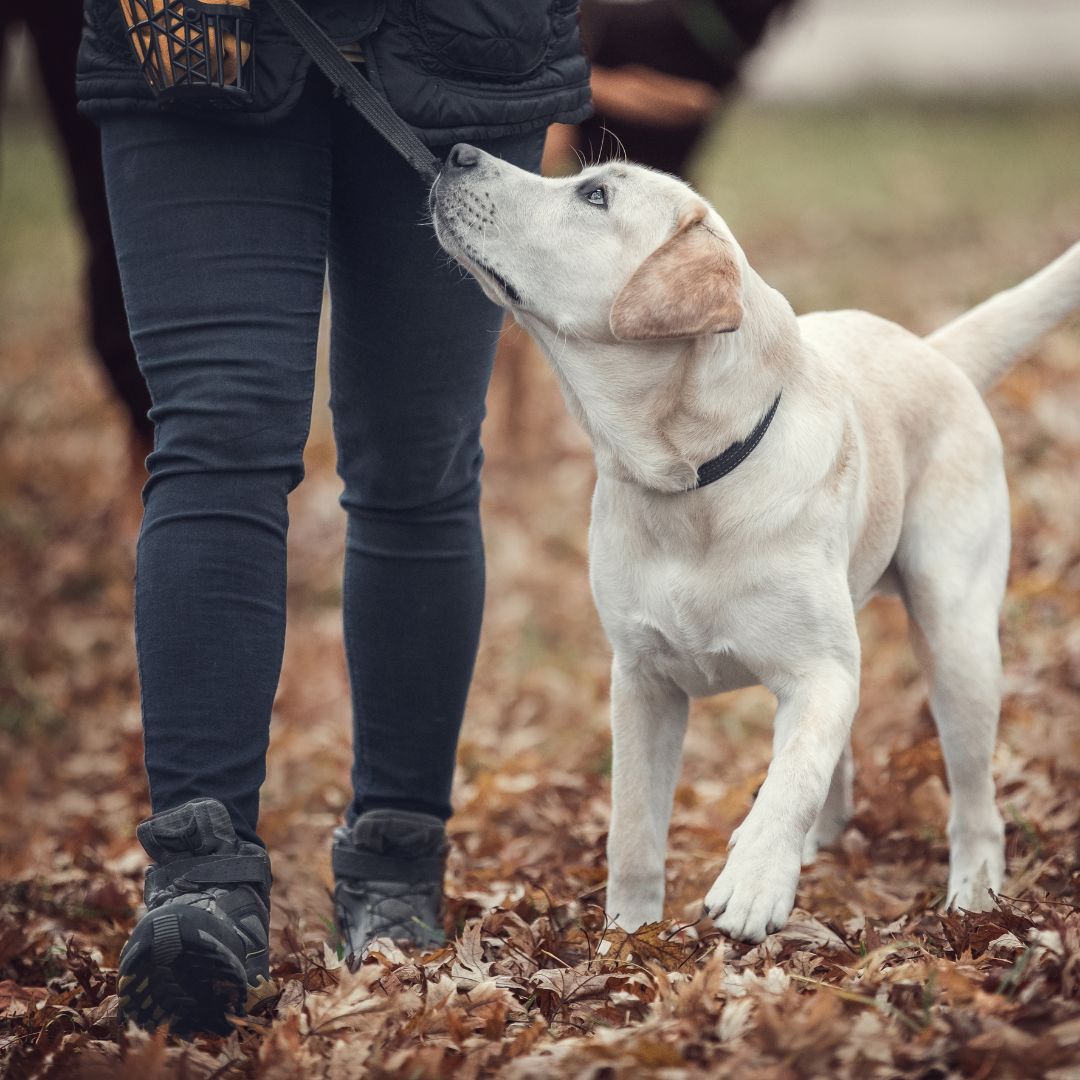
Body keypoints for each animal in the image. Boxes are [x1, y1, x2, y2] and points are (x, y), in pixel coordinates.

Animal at [429, 141, 1080, 937]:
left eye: (595, 197)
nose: (457, 152)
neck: (694, 481)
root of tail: (935, 353)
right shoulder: (641, 680)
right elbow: (633, 830)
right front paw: (628, 937)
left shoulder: (820, 672)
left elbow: (791, 776)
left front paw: (754, 880)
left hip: (957, 637)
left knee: (972, 800)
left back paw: (974, 898)